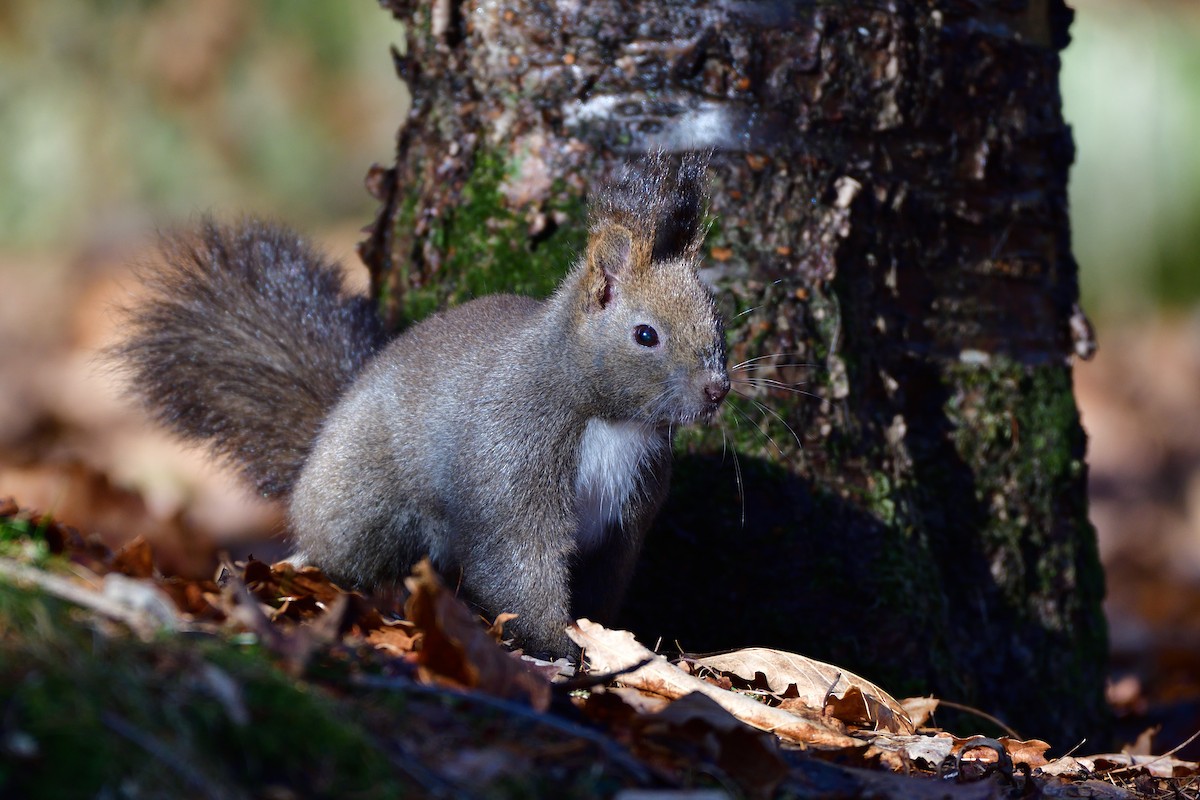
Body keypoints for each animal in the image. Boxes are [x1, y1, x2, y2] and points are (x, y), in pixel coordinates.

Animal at [118, 153, 730, 658]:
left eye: (719, 324)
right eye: (646, 335)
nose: (718, 390)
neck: (609, 419)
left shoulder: (626, 521)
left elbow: (602, 581)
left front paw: (600, 639)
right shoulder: (508, 464)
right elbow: (519, 561)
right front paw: (556, 645)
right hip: (370, 506)